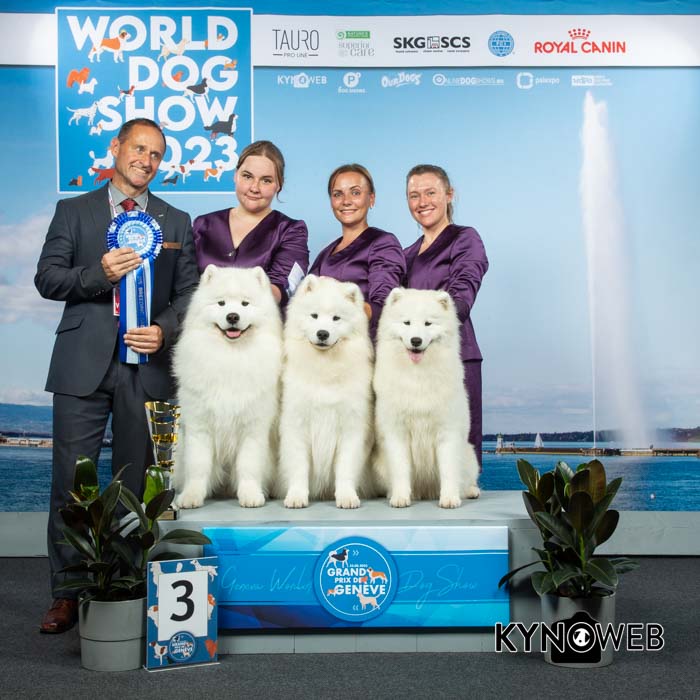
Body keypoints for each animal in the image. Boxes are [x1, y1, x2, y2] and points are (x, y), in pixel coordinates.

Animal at [173, 265, 283, 509]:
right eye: (221, 303)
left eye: (245, 304)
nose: (232, 316)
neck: (231, 356)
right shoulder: (200, 426)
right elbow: (198, 466)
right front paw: (191, 497)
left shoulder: (252, 428)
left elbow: (249, 466)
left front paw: (251, 496)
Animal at [280, 274, 374, 509]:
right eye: (314, 316)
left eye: (336, 318)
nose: (323, 333)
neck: (325, 368)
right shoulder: (297, 424)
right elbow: (299, 467)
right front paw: (296, 497)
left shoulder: (351, 427)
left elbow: (346, 468)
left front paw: (347, 497)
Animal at [373, 288, 480, 508]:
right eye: (407, 322)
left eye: (428, 323)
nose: (416, 340)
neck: (418, 375)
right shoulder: (397, 432)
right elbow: (401, 469)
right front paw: (400, 497)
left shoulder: (447, 431)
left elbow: (448, 470)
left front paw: (449, 499)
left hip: (469, 455)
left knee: (466, 479)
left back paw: (471, 491)